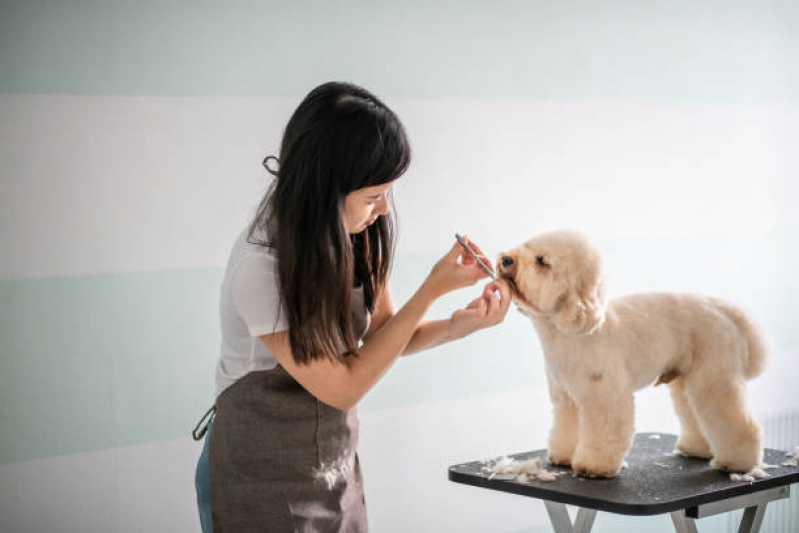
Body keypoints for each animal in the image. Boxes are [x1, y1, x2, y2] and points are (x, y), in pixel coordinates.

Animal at [500, 231, 768, 476]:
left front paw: (593, 466)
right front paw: (563, 456)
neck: (571, 331)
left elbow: (604, 431)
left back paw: (737, 462)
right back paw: (696, 449)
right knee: (693, 413)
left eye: (542, 261)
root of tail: (726, 311)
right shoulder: (566, 398)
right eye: (525, 245)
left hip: (714, 377)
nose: (506, 259)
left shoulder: (603, 395)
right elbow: (566, 428)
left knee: (736, 420)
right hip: (687, 380)